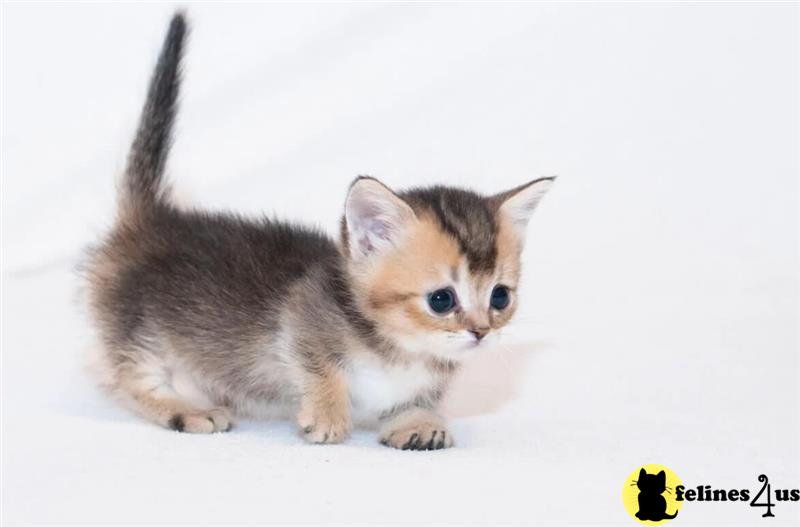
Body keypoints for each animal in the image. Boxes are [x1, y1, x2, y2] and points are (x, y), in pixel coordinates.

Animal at [84, 12, 552, 450]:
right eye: (441, 300)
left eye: (500, 297)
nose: (481, 331)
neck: (401, 350)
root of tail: (153, 220)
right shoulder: (299, 316)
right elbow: (314, 361)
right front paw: (327, 414)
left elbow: (409, 402)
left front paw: (419, 422)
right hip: (139, 329)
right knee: (133, 379)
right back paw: (186, 409)